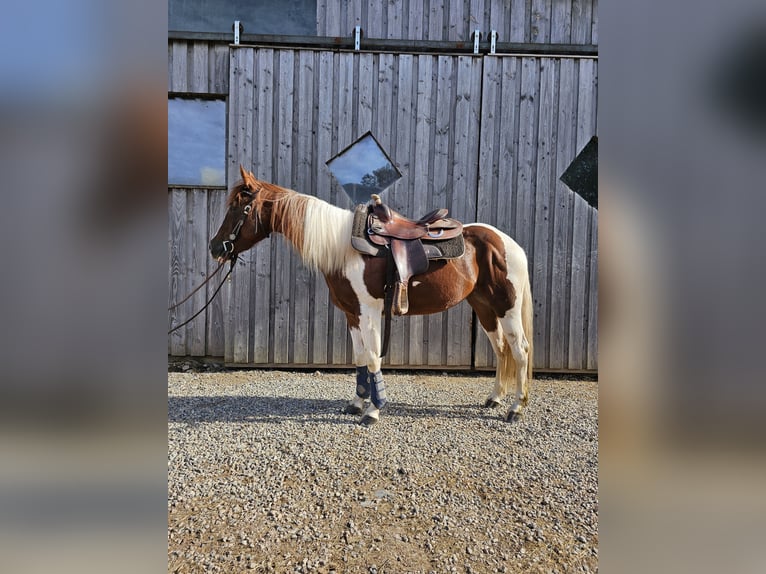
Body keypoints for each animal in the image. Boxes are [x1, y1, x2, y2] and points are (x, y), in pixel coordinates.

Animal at [210, 166, 536, 428]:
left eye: (240, 208)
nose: (215, 247)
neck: (342, 247)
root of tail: (509, 244)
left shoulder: (368, 312)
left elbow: (372, 357)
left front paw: (373, 412)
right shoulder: (351, 313)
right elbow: (359, 358)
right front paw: (357, 404)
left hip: (506, 306)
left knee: (520, 350)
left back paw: (516, 409)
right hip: (484, 306)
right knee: (501, 348)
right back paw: (495, 398)